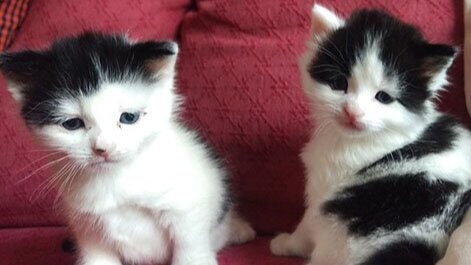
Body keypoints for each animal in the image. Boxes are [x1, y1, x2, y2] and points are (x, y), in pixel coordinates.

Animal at [0, 31, 256, 264]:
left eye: (129, 118)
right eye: (72, 124)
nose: (103, 148)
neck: (116, 179)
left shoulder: (188, 209)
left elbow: (190, 249)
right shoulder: (86, 225)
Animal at [270, 4, 471, 264]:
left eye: (383, 97)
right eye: (339, 84)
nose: (353, 112)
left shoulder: (323, 190)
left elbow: (306, 225)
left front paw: (284, 243)